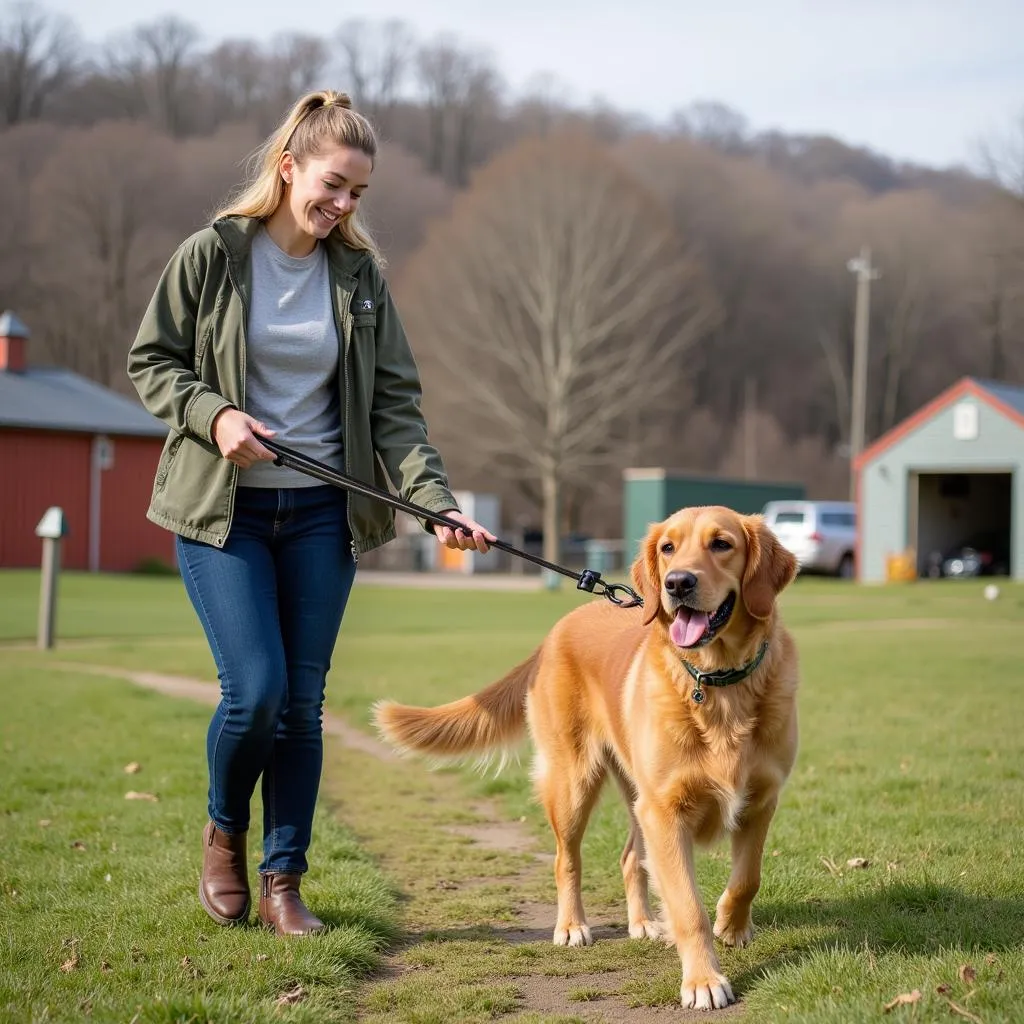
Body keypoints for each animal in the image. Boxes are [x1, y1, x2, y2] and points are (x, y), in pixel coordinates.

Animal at [374, 503, 798, 1007]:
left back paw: (643, 923)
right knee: (567, 859)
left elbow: (747, 878)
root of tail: (555, 631)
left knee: (630, 857)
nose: (677, 583)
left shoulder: (760, 800)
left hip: (634, 795)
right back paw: (572, 926)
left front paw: (732, 927)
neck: (718, 685)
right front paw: (703, 981)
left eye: (722, 544)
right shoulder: (666, 810)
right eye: (668, 548)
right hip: (573, 782)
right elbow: (688, 906)